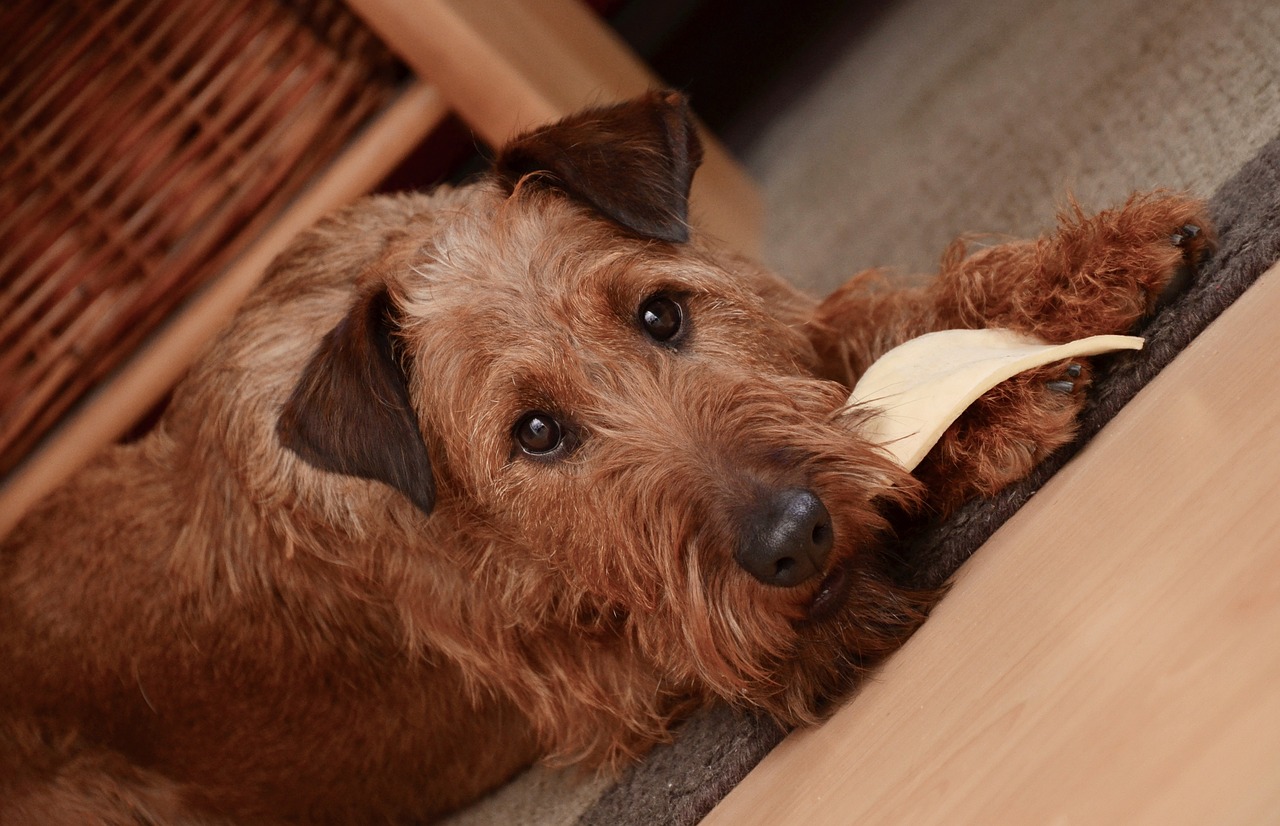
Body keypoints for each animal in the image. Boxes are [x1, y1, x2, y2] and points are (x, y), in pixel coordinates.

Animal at [0, 91, 1208, 819]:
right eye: (534, 433)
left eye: (661, 313)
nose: (791, 537)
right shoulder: (611, 678)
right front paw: (982, 412)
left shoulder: (789, 338)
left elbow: (868, 328)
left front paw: (1074, 270)